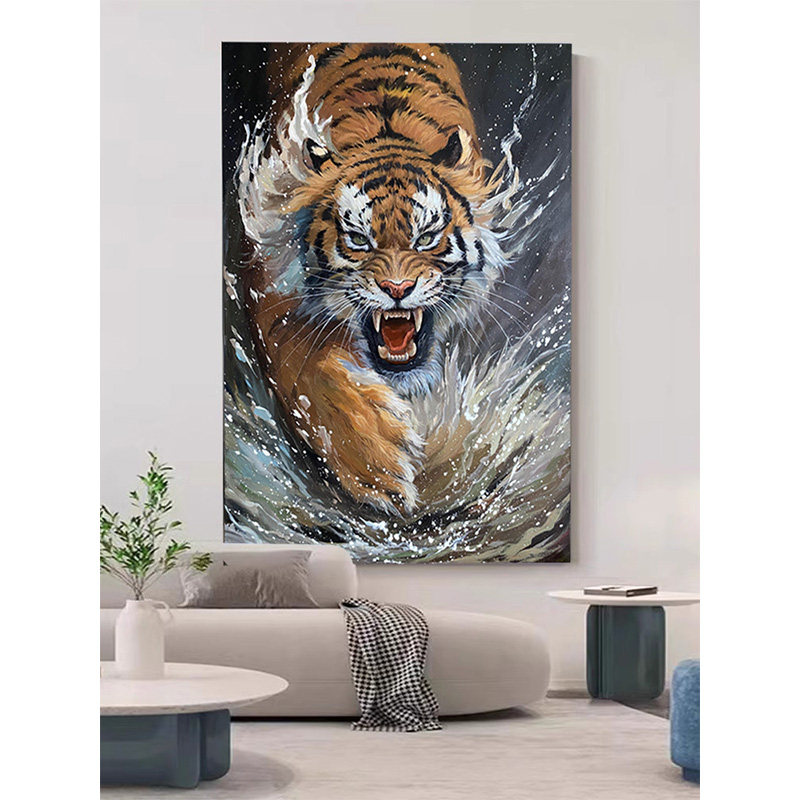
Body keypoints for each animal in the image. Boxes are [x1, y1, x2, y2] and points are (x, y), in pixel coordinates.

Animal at [240, 43, 507, 515]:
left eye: (426, 237)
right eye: (359, 240)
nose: (397, 290)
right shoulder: (265, 273)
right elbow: (300, 360)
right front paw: (376, 463)